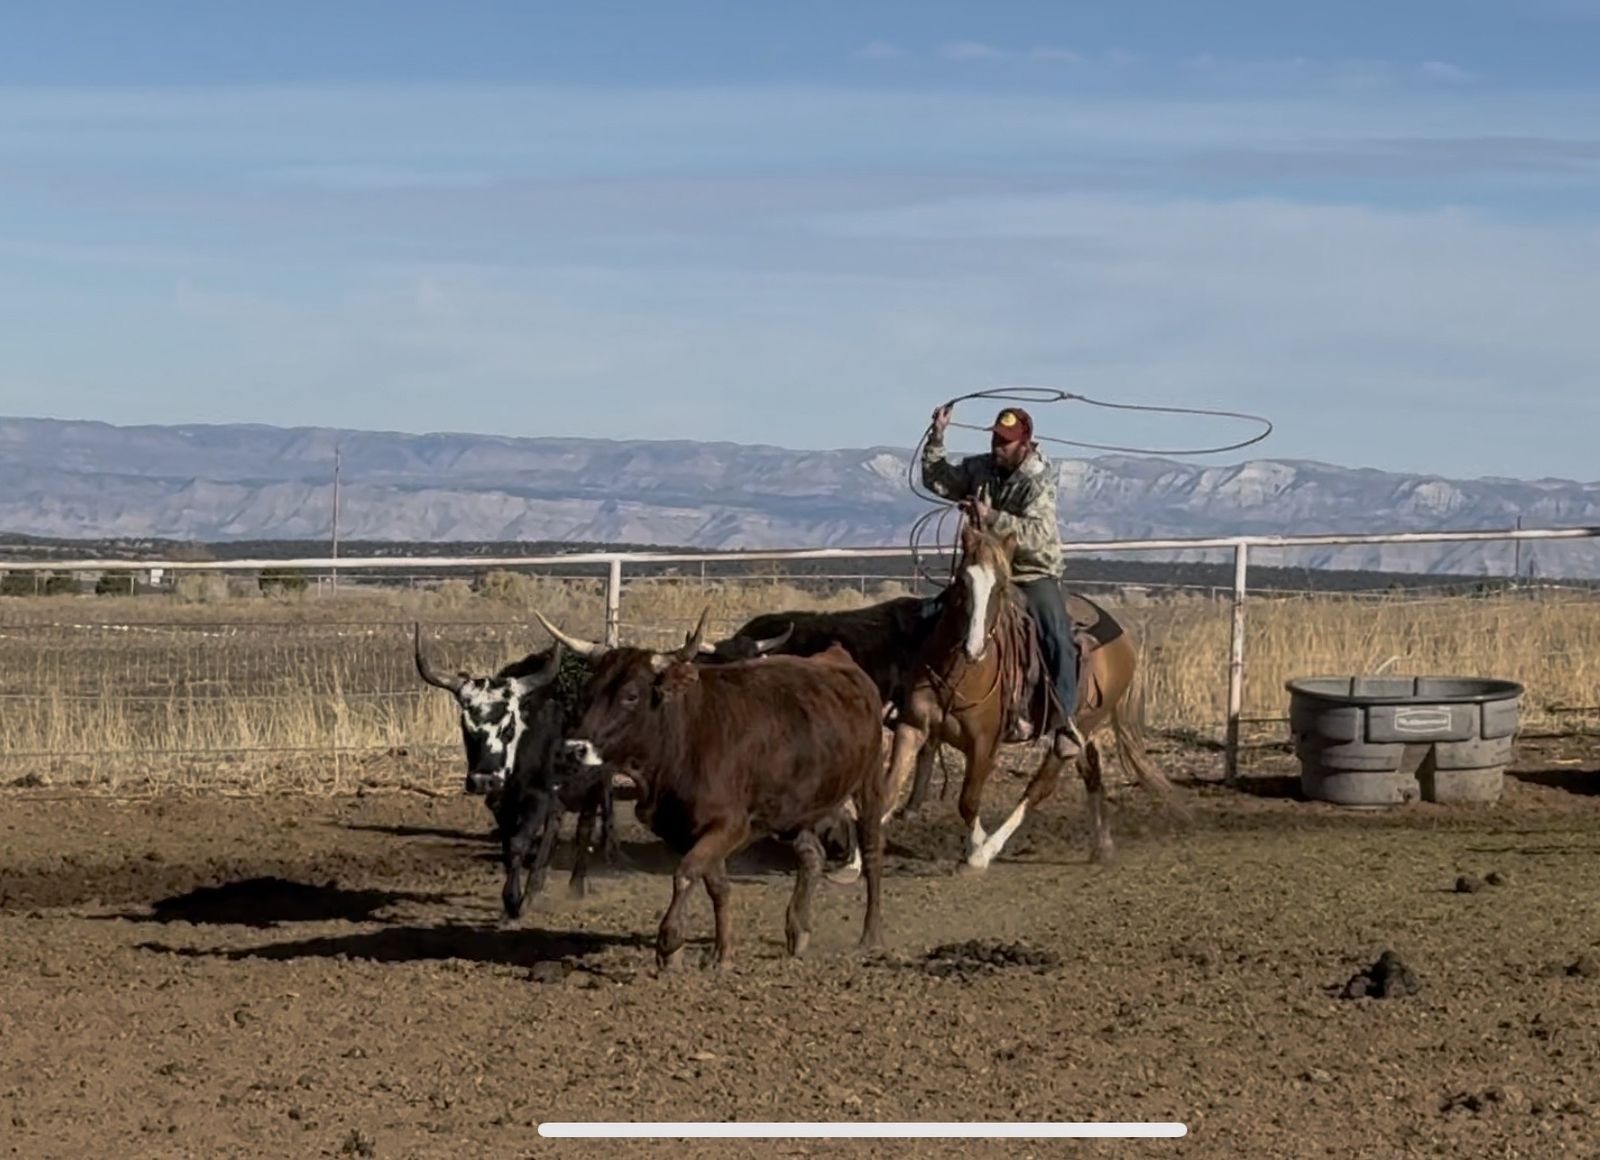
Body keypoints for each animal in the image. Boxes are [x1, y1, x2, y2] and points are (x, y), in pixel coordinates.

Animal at [413, 625, 618, 916]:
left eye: (508, 727)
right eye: (466, 726)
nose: (484, 780)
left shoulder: (538, 796)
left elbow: (519, 842)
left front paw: (513, 900)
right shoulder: (501, 802)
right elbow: (509, 844)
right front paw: (517, 896)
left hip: (596, 781)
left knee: (585, 825)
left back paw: (577, 883)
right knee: (556, 823)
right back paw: (537, 886)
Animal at [539, 608, 887, 970]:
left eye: (630, 695)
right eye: (588, 693)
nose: (573, 749)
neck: (684, 737)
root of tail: (840, 658)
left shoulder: (729, 825)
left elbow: (686, 873)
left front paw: (670, 942)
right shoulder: (692, 829)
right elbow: (717, 885)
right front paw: (722, 952)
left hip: (870, 782)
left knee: (873, 854)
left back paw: (870, 936)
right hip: (796, 809)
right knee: (812, 856)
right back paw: (798, 929)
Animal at [881, 519, 1173, 871]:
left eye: (1001, 587)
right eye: (962, 581)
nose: (973, 648)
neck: (957, 672)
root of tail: (1124, 636)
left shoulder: (985, 743)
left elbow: (968, 801)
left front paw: (976, 849)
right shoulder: (912, 727)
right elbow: (889, 791)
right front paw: (853, 863)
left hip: (1076, 730)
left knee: (1039, 788)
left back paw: (989, 851)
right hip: (1082, 731)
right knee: (1091, 772)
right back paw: (1102, 846)